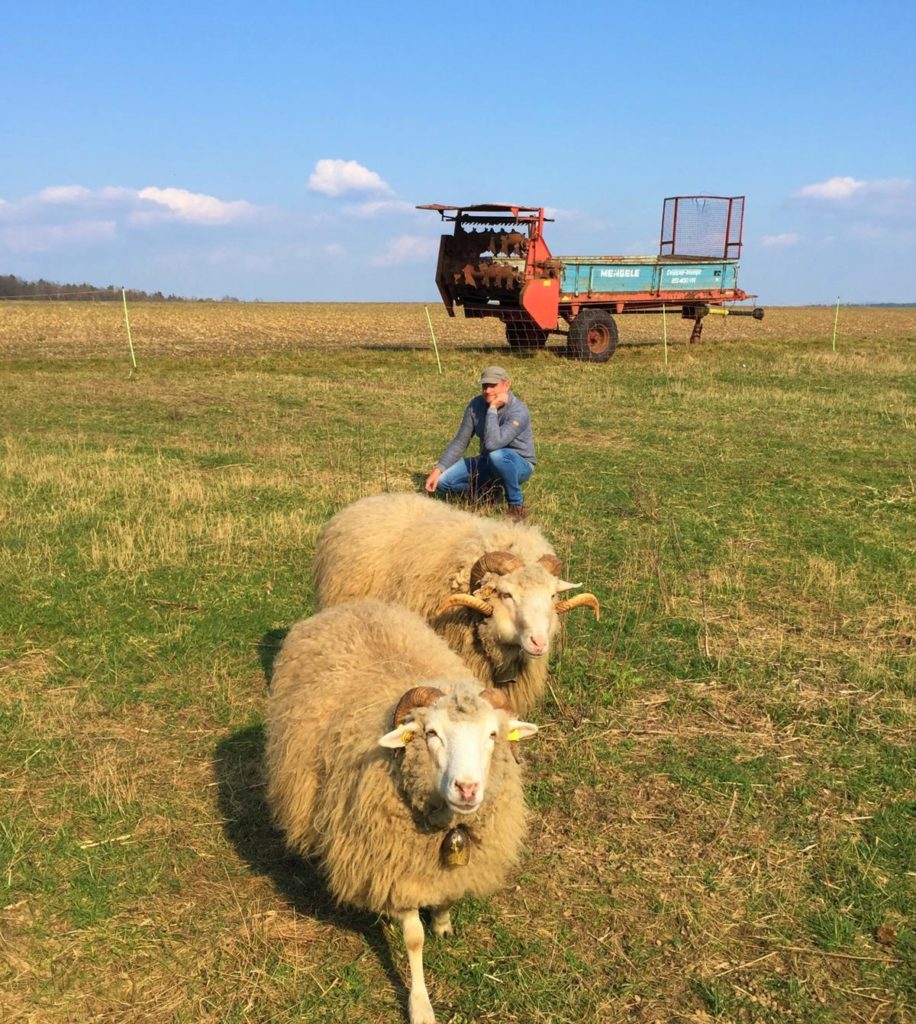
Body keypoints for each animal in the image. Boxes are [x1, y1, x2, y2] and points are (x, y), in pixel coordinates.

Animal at [264, 598, 536, 1024]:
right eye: (431, 734)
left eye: (493, 734)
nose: (467, 788)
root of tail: (355, 606)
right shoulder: (395, 867)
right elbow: (413, 939)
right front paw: (420, 1004)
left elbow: (446, 897)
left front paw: (443, 923)